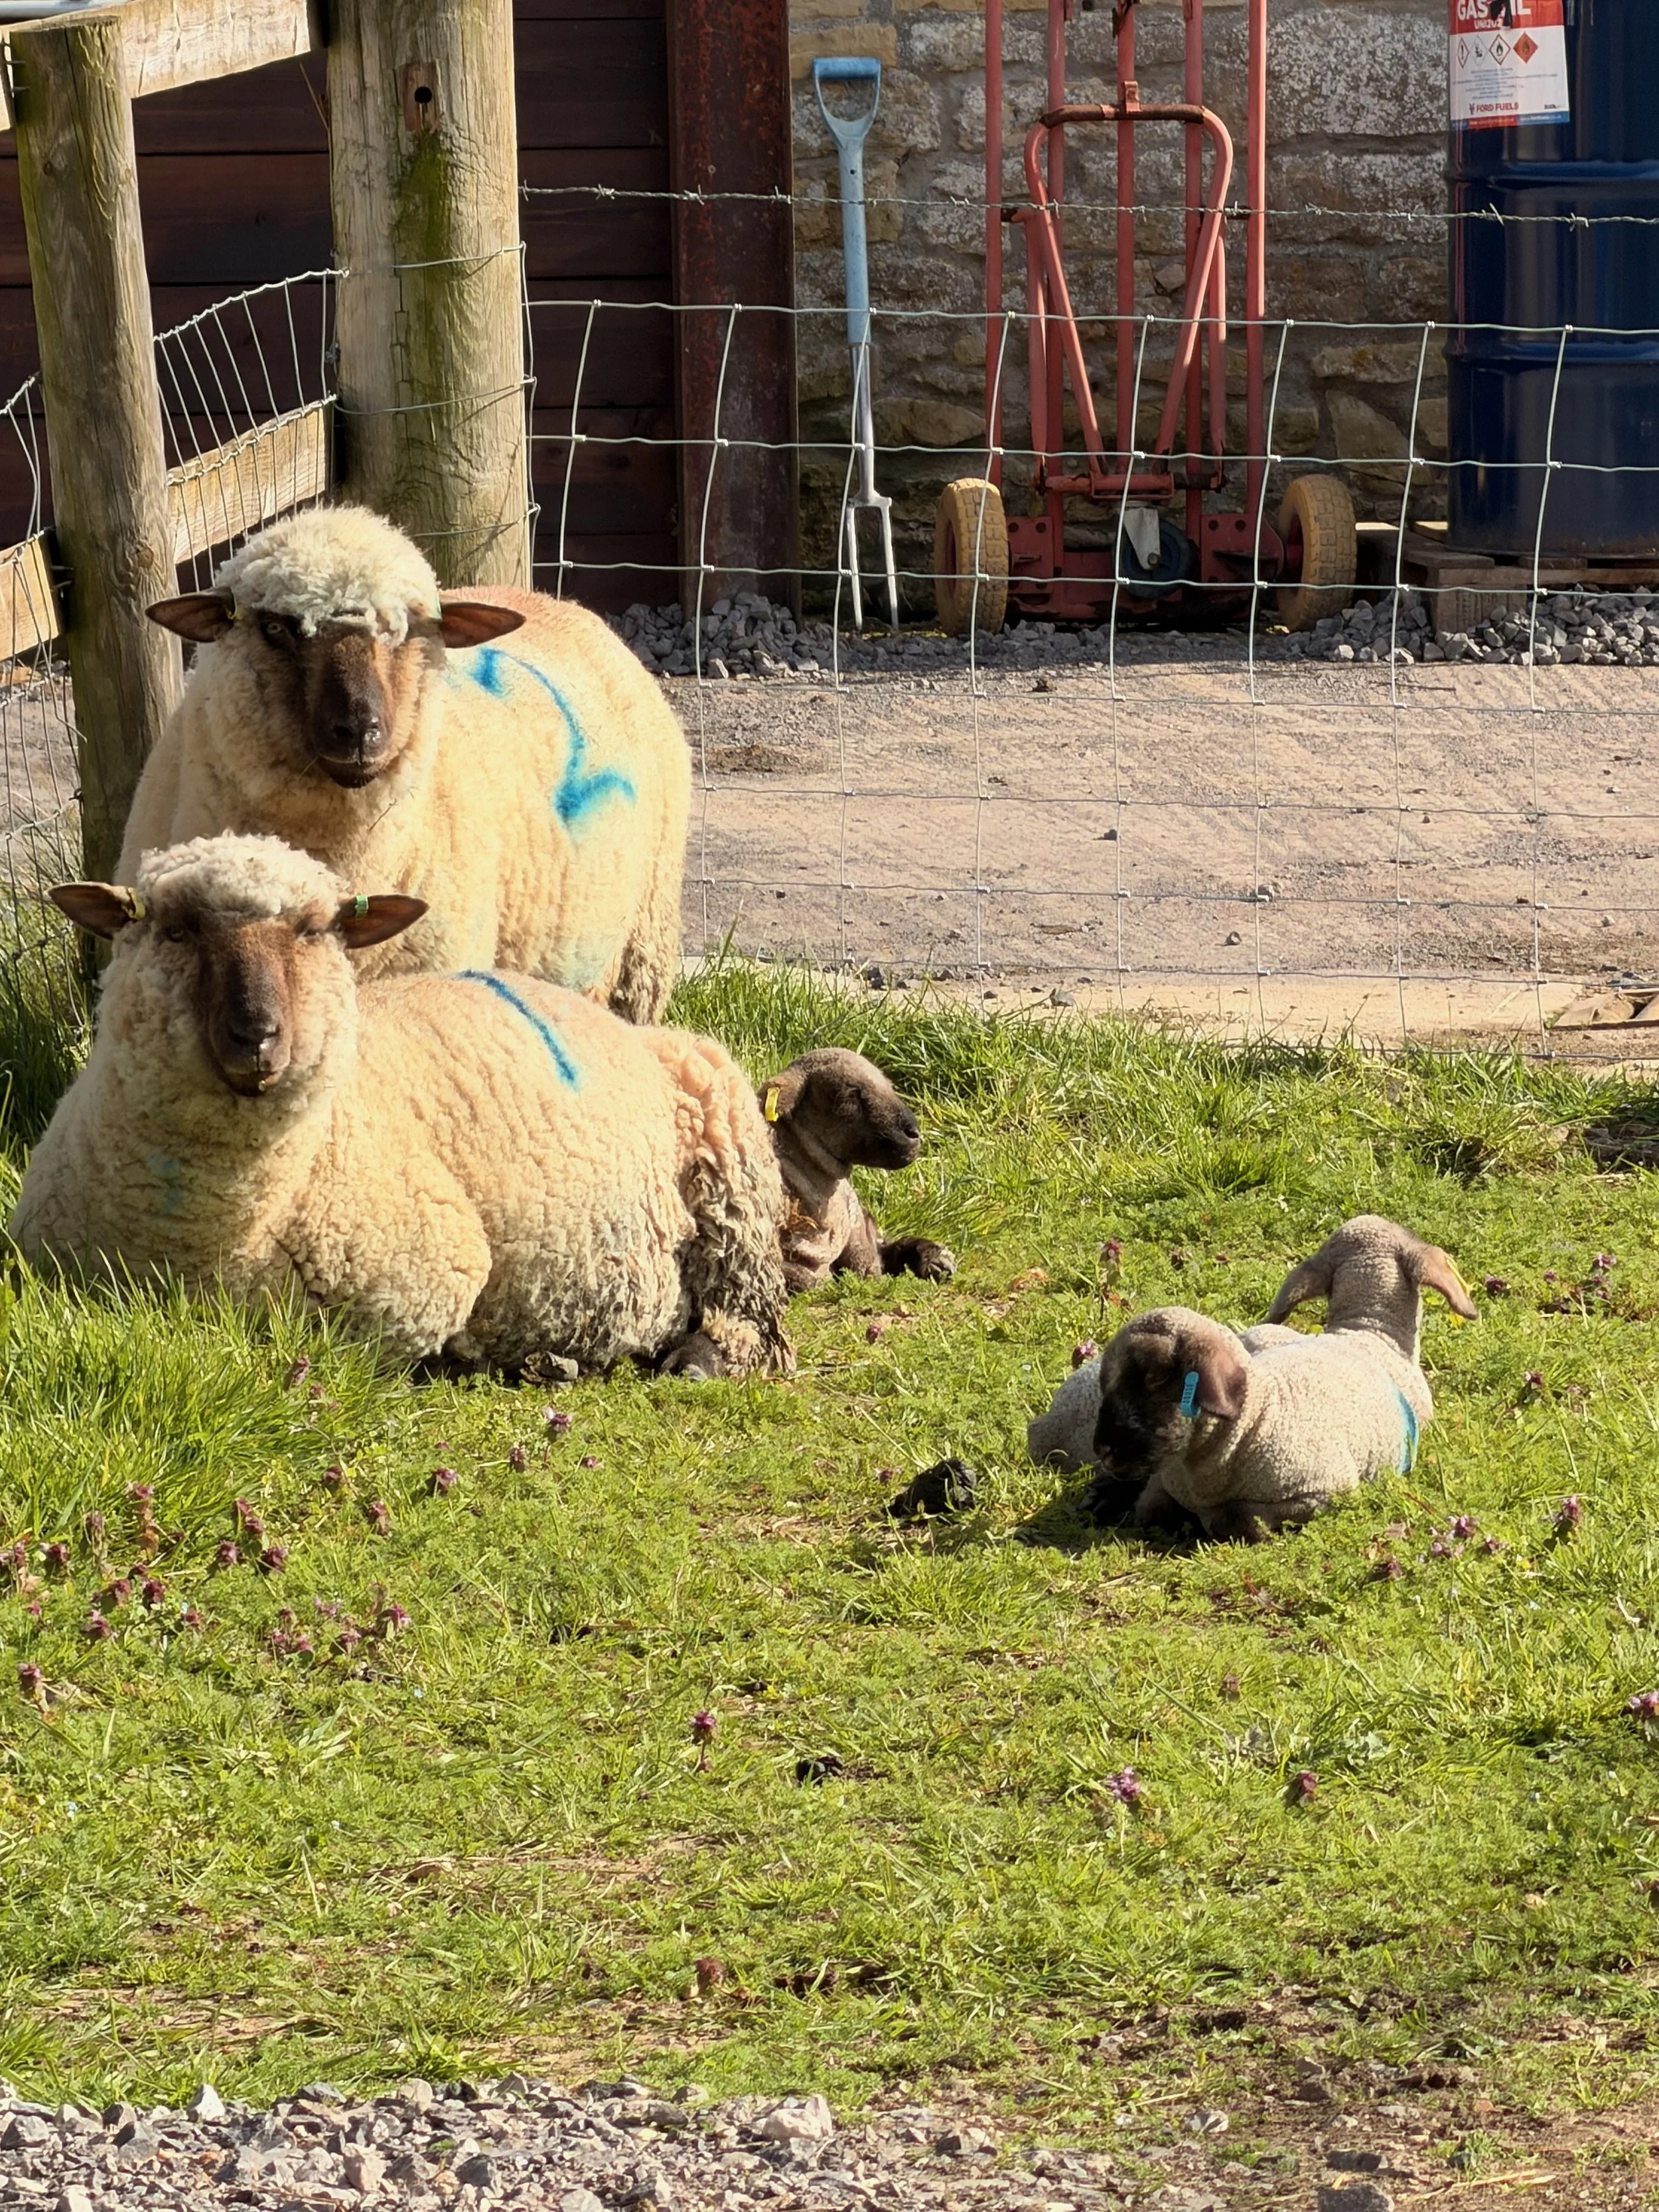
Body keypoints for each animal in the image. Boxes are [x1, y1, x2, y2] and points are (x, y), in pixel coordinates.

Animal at [14, 834, 789, 1380]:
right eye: (174, 928)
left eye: (314, 931)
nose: (256, 1036)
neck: (207, 1239)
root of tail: (618, 1022)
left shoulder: (418, 1290)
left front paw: (464, 1355)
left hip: (732, 1172)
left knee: (751, 1312)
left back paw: (695, 1359)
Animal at [1029, 1215, 1476, 1541]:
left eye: (1155, 1379)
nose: (1104, 1448)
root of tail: (1044, 1427)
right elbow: (1152, 1509)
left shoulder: (1324, 1493)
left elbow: (1240, 1521)